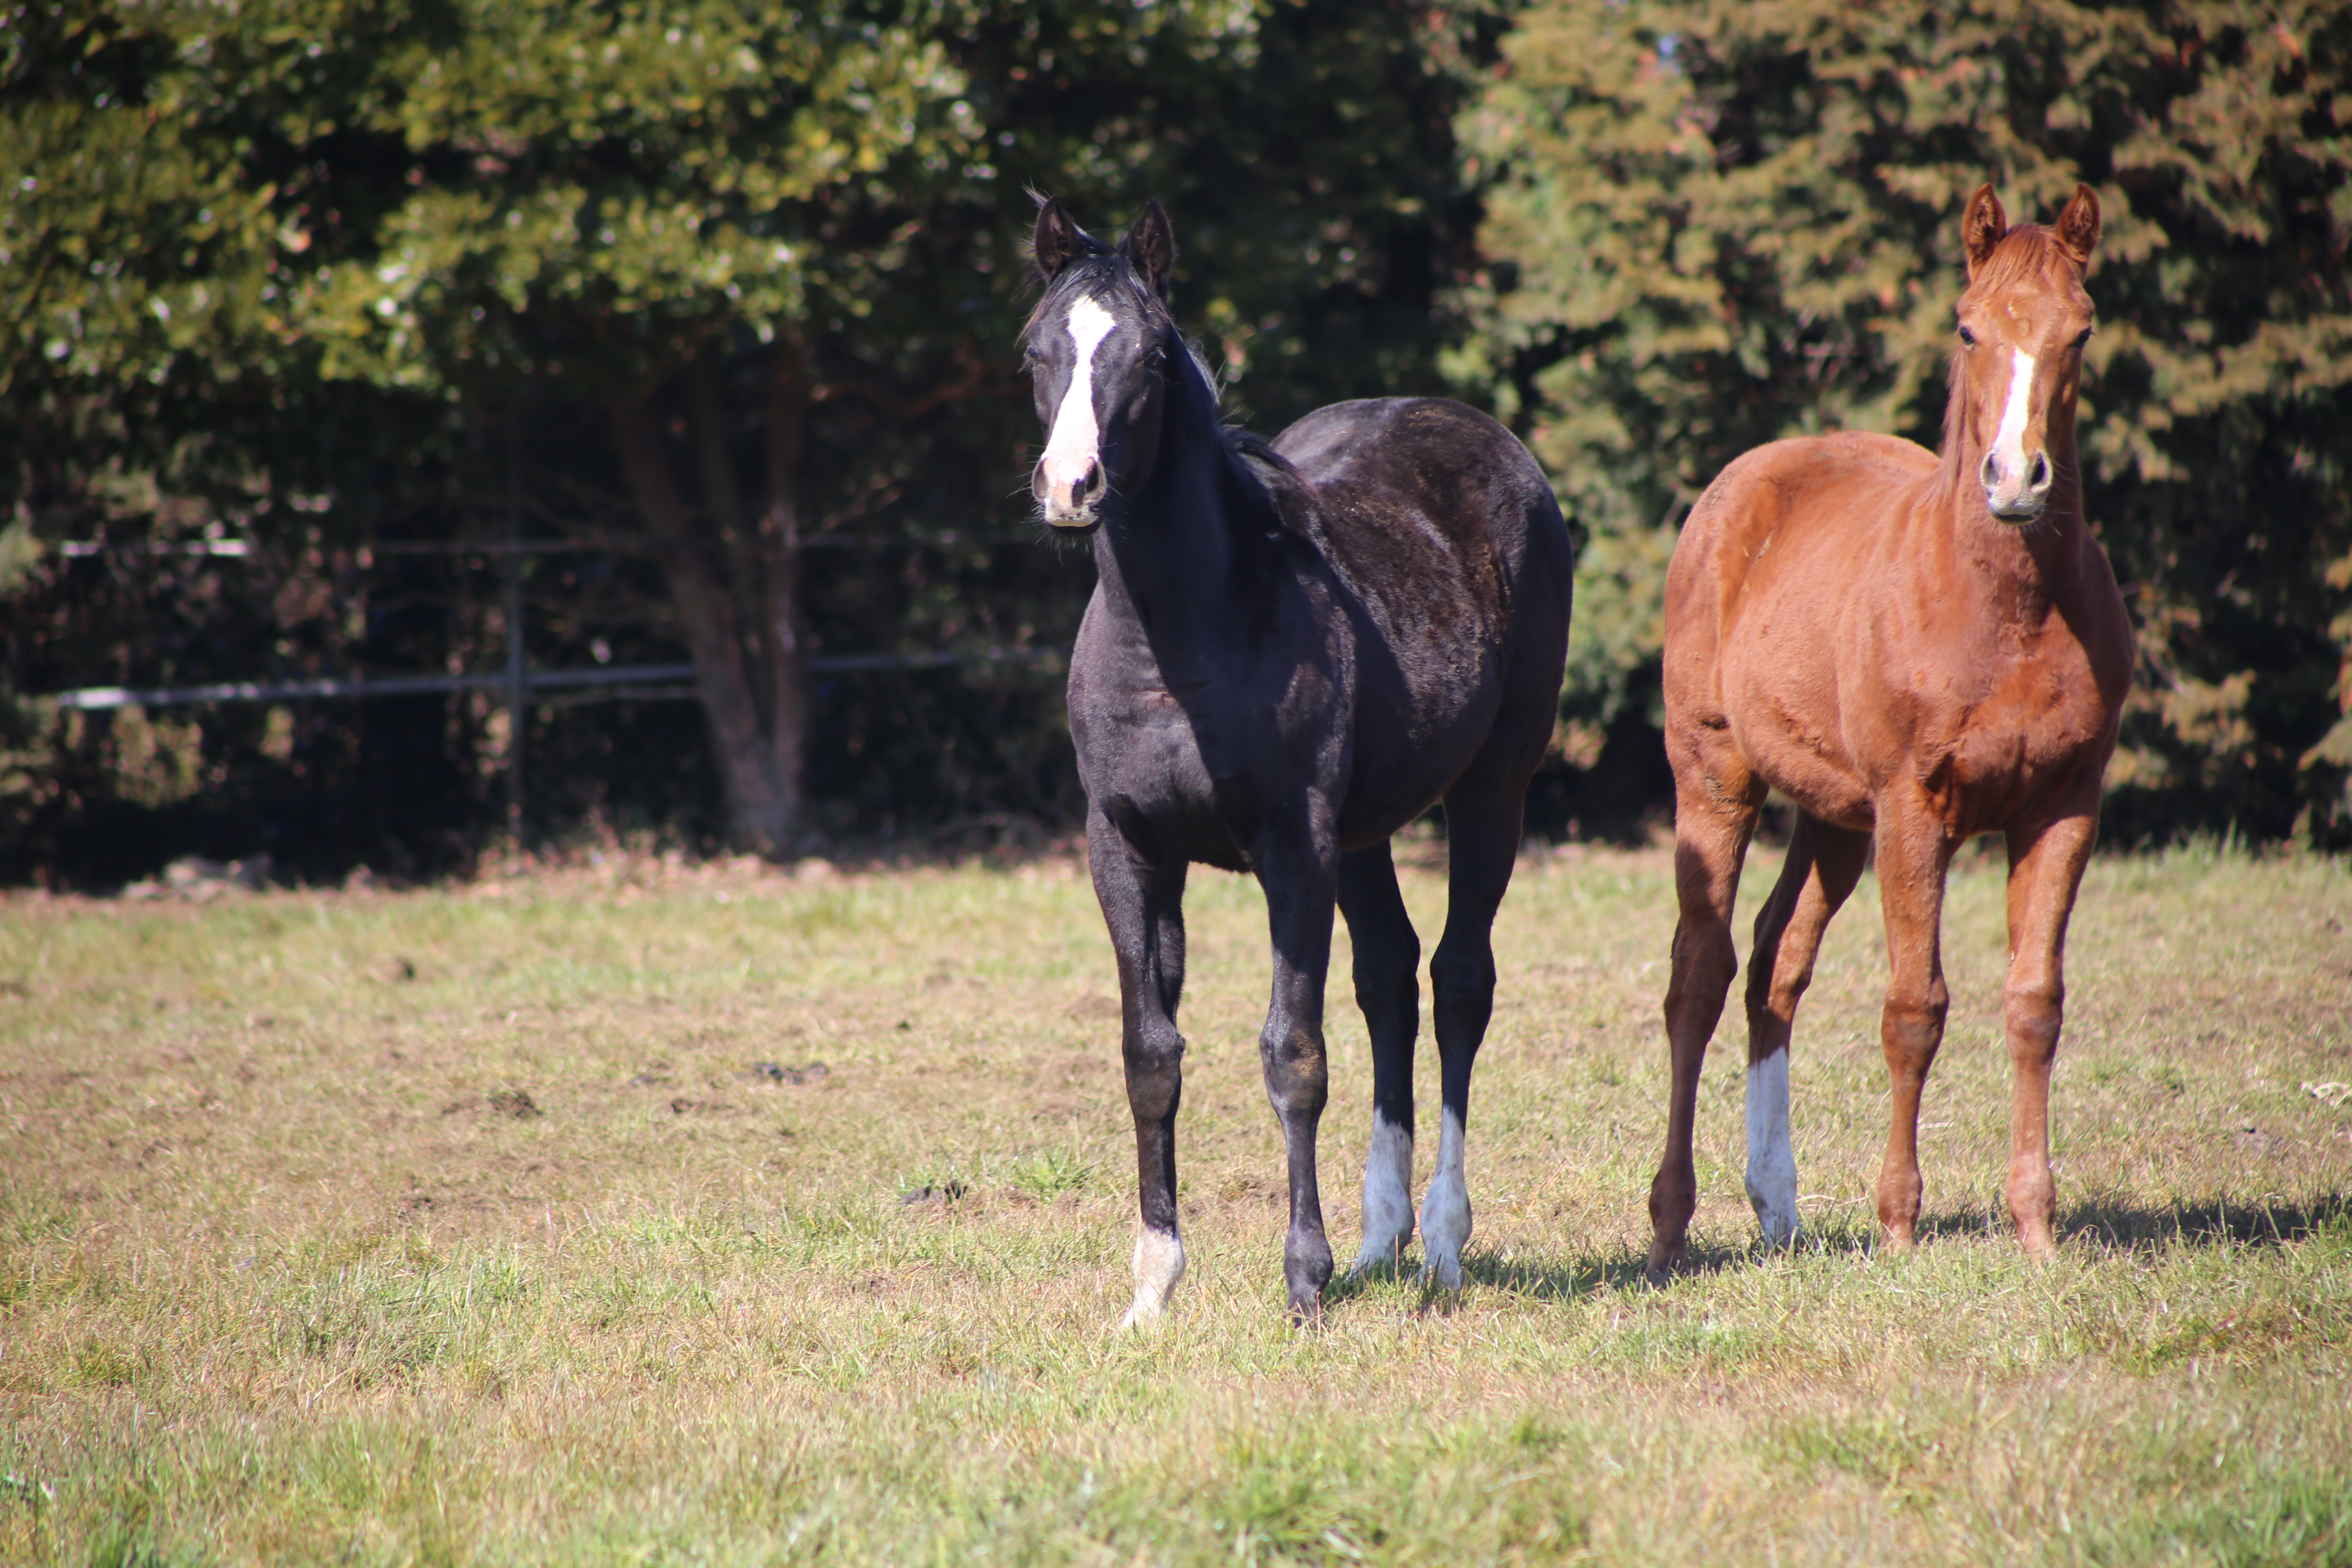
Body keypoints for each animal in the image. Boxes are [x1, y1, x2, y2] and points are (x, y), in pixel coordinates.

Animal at [1025, 196, 1561, 1326]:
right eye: (1036, 348)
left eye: (1148, 352)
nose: (1070, 485)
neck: (1180, 640)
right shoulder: (1126, 848)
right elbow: (1150, 1054)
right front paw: (1152, 1284)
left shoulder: (1292, 849)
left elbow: (1293, 1053)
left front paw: (1302, 1280)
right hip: (1362, 835)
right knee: (1390, 975)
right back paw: (1380, 1240)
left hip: (1491, 790)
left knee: (1459, 981)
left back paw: (1441, 1246)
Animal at [1646, 184, 2145, 1278]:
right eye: (1966, 327)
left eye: (2081, 331)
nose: (2015, 481)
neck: (2003, 611)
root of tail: (1741, 483)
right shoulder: (1915, 812)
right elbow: (1914, 1009)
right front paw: (1898, 1224)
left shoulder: (2062, 808)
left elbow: (2033, 1005)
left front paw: (2035, 1228)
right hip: (1717, 779)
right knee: (1698, 979)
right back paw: (1668, 1225)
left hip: (1835, 816)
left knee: (1773, 964)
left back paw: (1777, 1209)